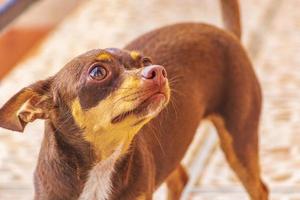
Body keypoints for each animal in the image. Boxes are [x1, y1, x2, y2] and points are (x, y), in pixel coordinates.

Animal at [0, 0, 268, 199]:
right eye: (98, 72)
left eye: (145, 62)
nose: (158, 71)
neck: (102, 165)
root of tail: (227, 33)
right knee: (179, 179)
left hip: (239, 140)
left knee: (259, 188)